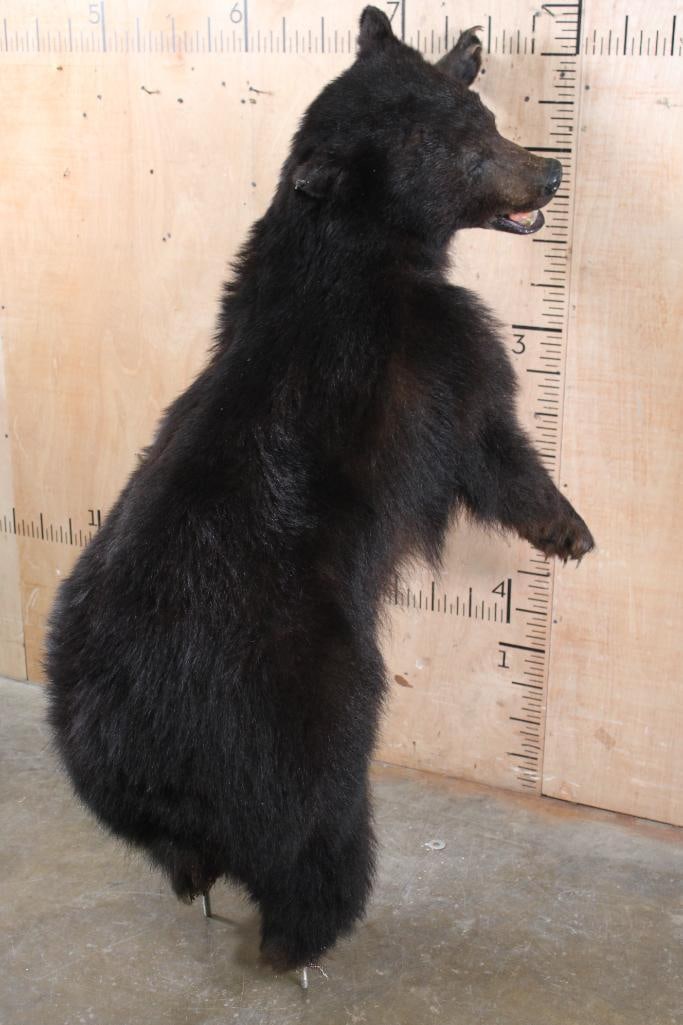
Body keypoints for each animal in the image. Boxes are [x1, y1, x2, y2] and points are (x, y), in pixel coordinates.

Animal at [46, 6, 594, 978]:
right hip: (307, 705)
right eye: (467, 151)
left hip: (105, 779)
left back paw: (196, 883)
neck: (346, 252)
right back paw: (305, 936)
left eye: (483, 117)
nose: (549, 170)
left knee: (174, 849)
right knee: (312, 832)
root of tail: (130, 725)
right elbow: (492, 443)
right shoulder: (434, 355)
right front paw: (565, 527)